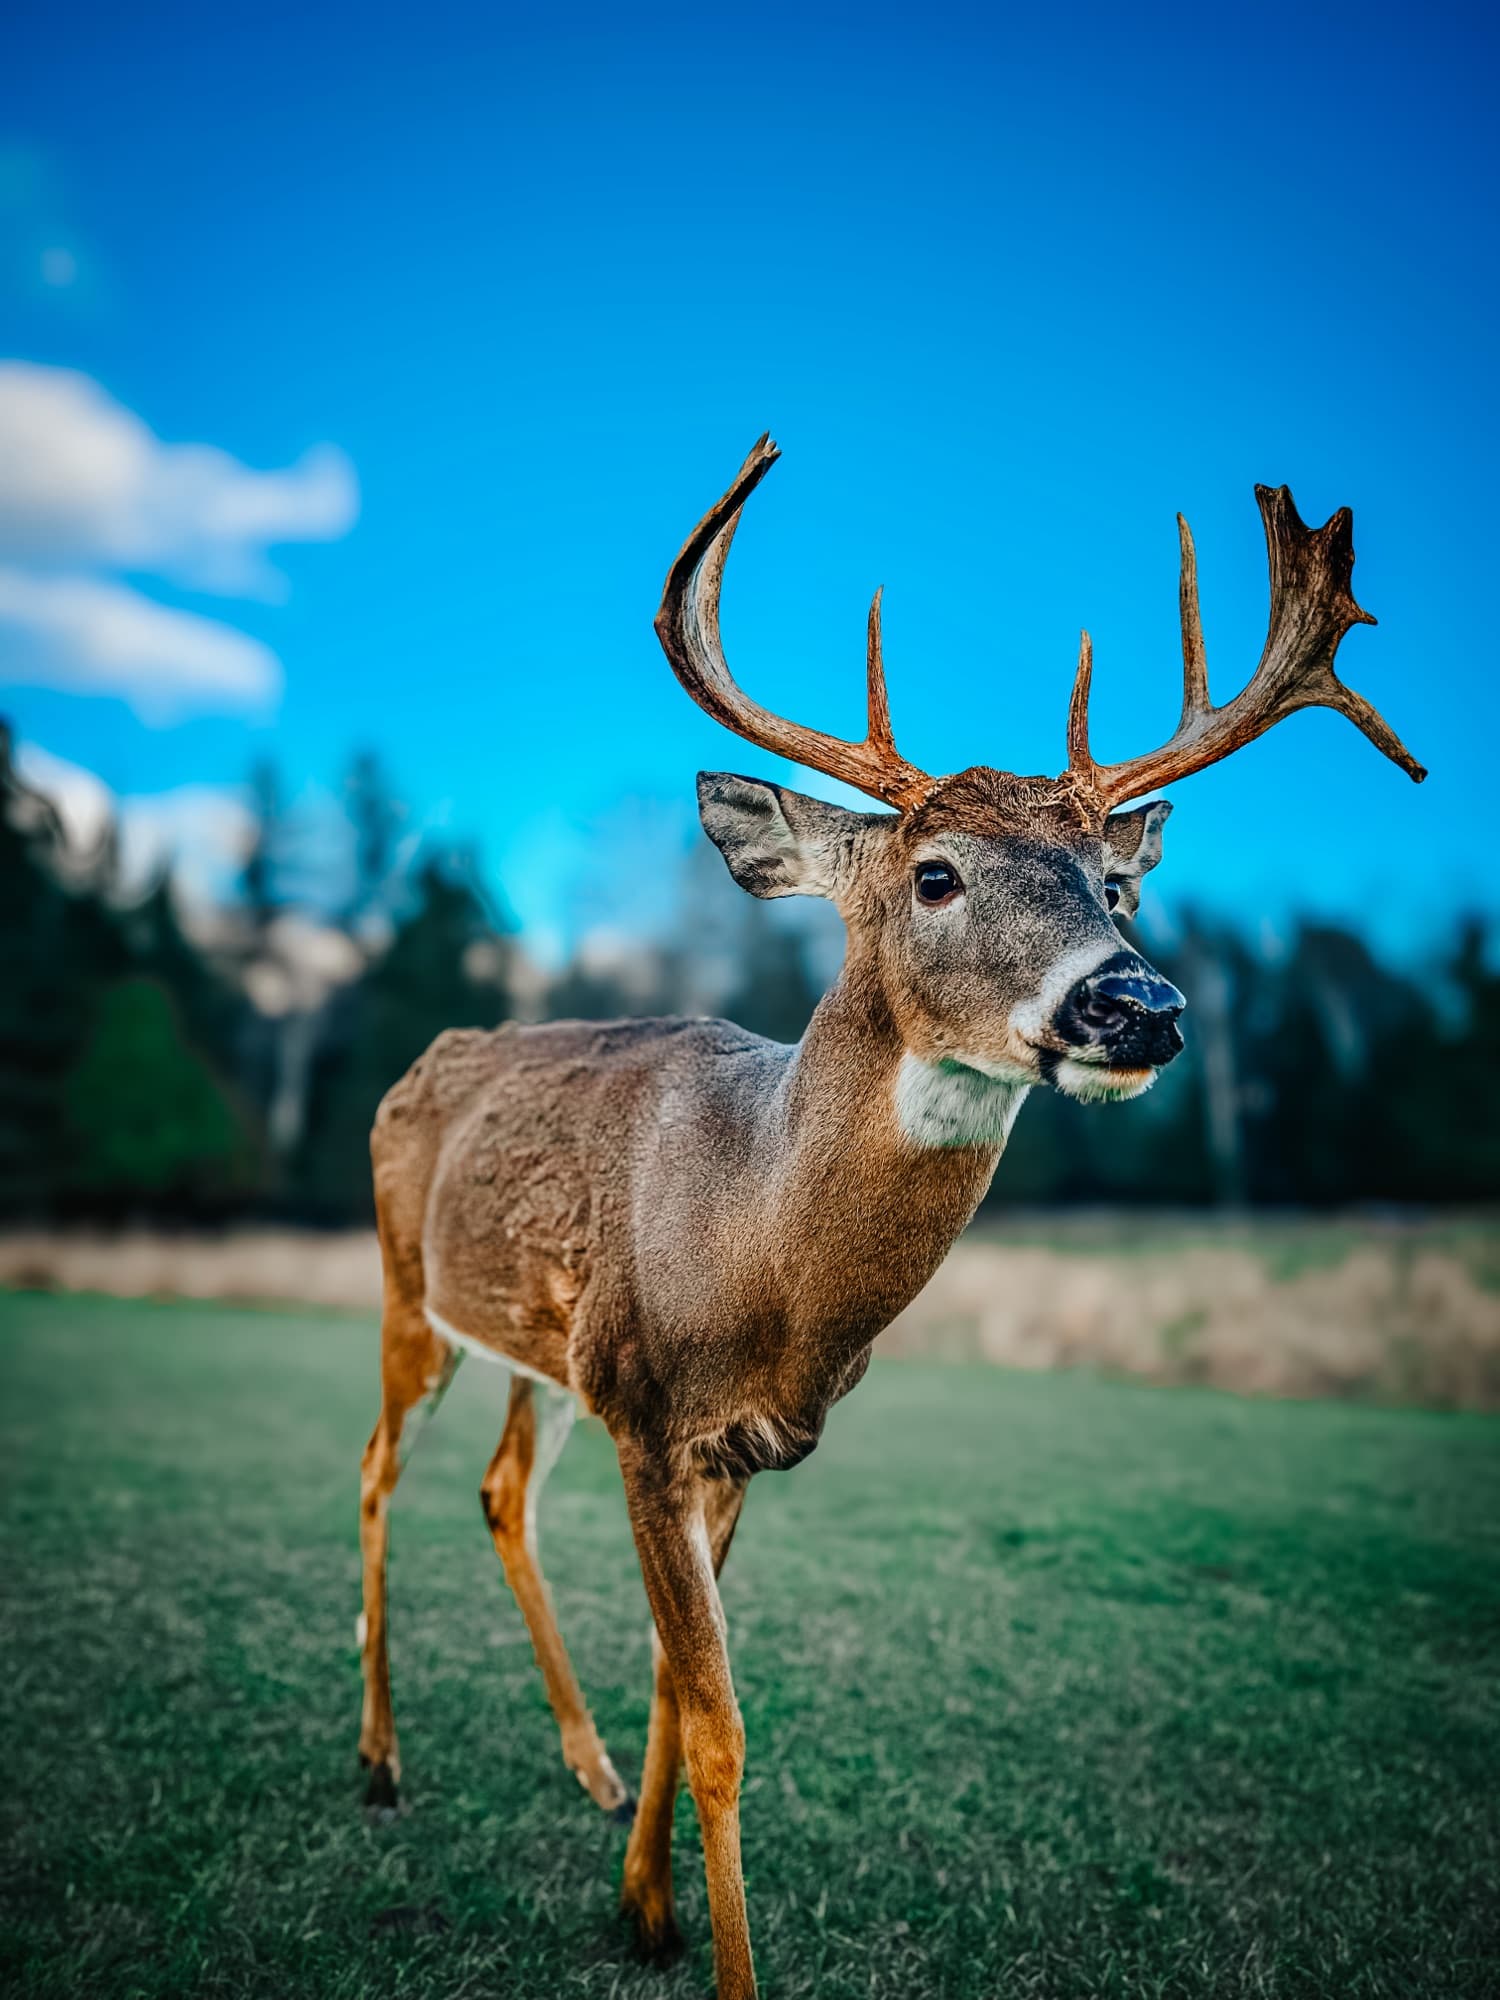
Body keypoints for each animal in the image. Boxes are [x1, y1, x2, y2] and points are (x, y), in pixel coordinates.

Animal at [356, 437, 1423, 1999]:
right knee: (376, 1467)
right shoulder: (648, 1413)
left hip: (538, 1354)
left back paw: (586, 1769)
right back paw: (376, 1760)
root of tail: (427, 1056)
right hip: (404, 1290)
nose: (1139, 1004)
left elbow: (677, 1687)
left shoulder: (735, 1444)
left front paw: (645, 1907)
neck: (758, 1254)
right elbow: (723, 1723)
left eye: (1116, 882)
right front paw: (713, 1952)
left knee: (498, 1491)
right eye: (935, 873)